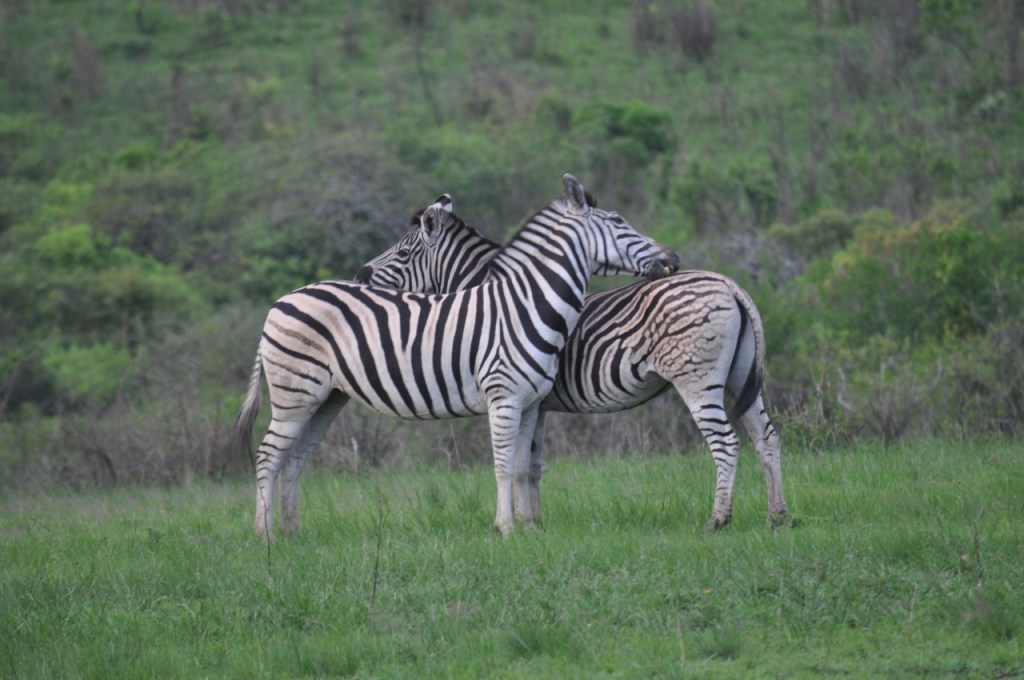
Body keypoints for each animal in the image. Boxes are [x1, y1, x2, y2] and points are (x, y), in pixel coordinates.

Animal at [233, 174, 679, 537]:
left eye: (402, 253)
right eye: (619, 223)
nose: (672, 258)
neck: (527, 303)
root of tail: (281, 300)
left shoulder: (531, 403)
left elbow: (522, 466)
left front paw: (528, 529)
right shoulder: (504, 399)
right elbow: (504, 465)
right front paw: (505, 528)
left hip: (325, 398)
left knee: (294, 458)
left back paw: (292, 531)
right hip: (295, 393)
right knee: (268, 455)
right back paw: (266, 535)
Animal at [356, 199, 788, 530]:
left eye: (403, 253)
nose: (361, 274)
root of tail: (727, 283)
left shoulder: (522, 395)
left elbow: (521, 461)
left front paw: (523, 521)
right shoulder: (538, 402)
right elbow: (531, 464)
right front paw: (535, 521)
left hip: (698, 379)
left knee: (726, 442)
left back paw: (718, 520)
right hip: (740, 376)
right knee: (766, 437)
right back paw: (776, 516)